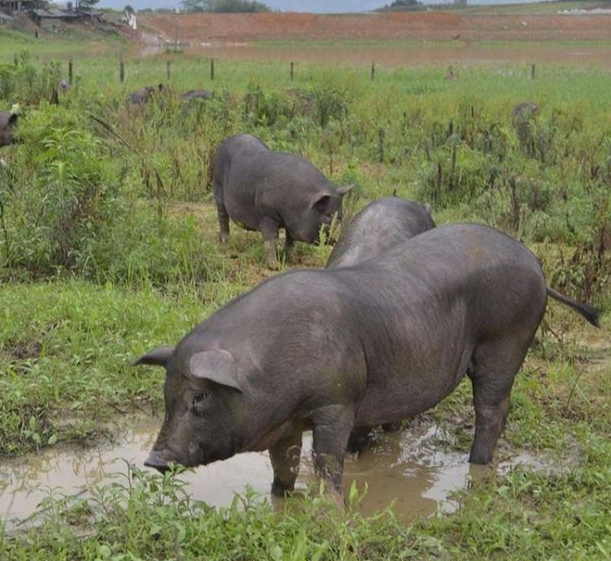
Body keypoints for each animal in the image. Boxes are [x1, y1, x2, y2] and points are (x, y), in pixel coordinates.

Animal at [136, 221, 600, 500]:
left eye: (199, 396)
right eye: (167, 394)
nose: (153, 459)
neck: (266, 371)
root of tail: (535, 265)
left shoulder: (336, 401)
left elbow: (326, 461)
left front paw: (331, 505)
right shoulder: (285, 422)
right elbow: (283, 465)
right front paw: (281, 500)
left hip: (506, 340)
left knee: (492, 407)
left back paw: (477, 465)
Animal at [212, 135, 352, 268]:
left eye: (341, 215)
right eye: (328, 216)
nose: (341, 235)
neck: (301, 204)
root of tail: (223, 143)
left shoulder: (291, 222)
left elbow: (290, 241)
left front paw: (289, 258)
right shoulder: (266, 214)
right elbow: (271, 241)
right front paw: (275, 266)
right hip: (217, 186)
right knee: (222, 215)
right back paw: (225, 240)